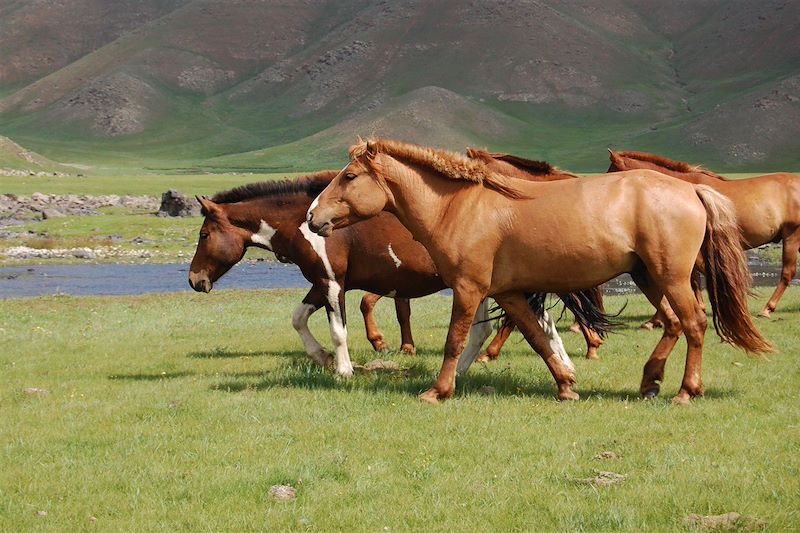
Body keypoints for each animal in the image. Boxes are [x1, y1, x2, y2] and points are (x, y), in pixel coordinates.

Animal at [184, 172, 592, 376]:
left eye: (203, 235)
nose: (193, 280)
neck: (304, 219)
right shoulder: (323, 282)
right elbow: (299, 318)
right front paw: (322, 358)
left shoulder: (332, 283)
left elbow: (338, 330)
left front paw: (343, 369)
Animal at [308, 137, 776, 404]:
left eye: (349, 176)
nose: (313, 217)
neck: (458, 206)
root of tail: (693, 190)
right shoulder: (508, 293)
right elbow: (536, 337)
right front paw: (567, 385)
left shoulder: (469, 289)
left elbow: (455, 342)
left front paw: (438, 391)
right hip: (649, 277)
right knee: (675, 323)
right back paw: (649, 381)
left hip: (670, 277)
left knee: (694, 324)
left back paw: (684, 391)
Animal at [608, 148, 800, 318]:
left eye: (611, 172)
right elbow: (693, 279)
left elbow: (690, 279)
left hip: (792, 235)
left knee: (787, 273)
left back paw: (767, 309)